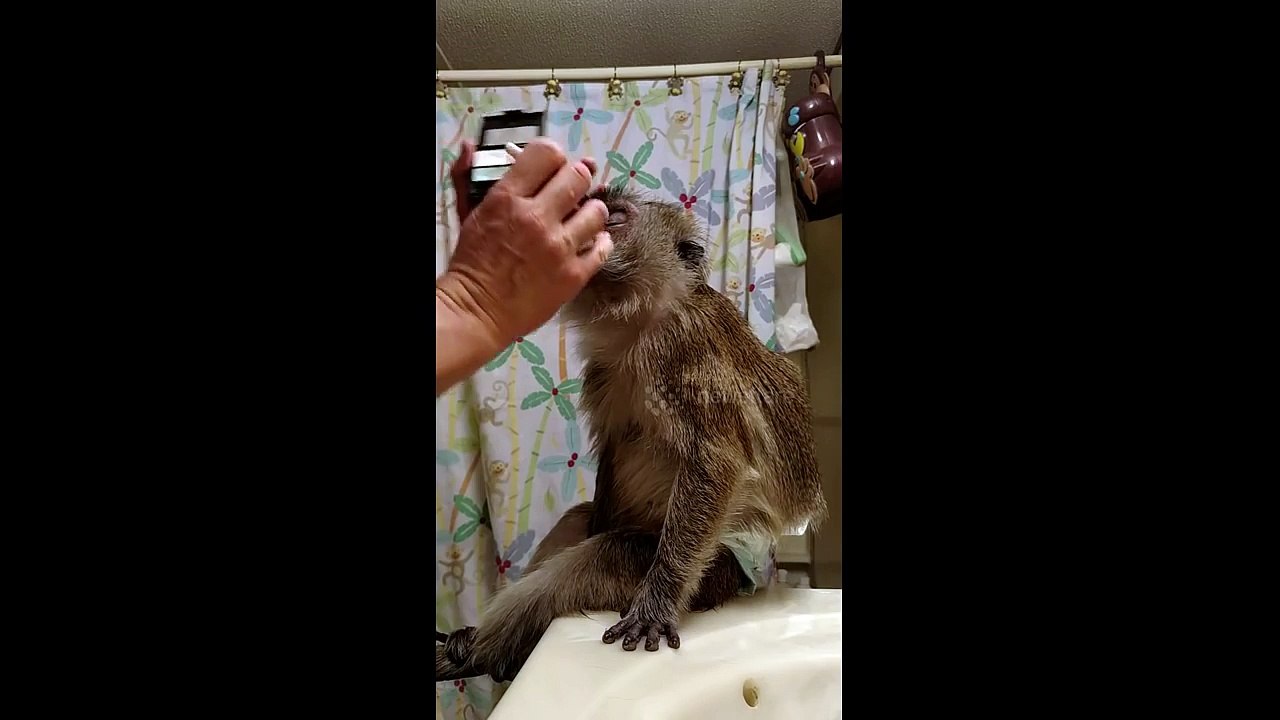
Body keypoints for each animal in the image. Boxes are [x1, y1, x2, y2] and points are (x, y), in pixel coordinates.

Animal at [436, 185, 826, 683]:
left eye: (616, 218)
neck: (638, 318)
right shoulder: (606, 366)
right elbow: (613, 447)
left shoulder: (680, 348)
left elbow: (717, 460)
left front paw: (656, 604)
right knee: (579, 522)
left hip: (716, 573)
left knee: (600, 557)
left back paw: (484, 653)